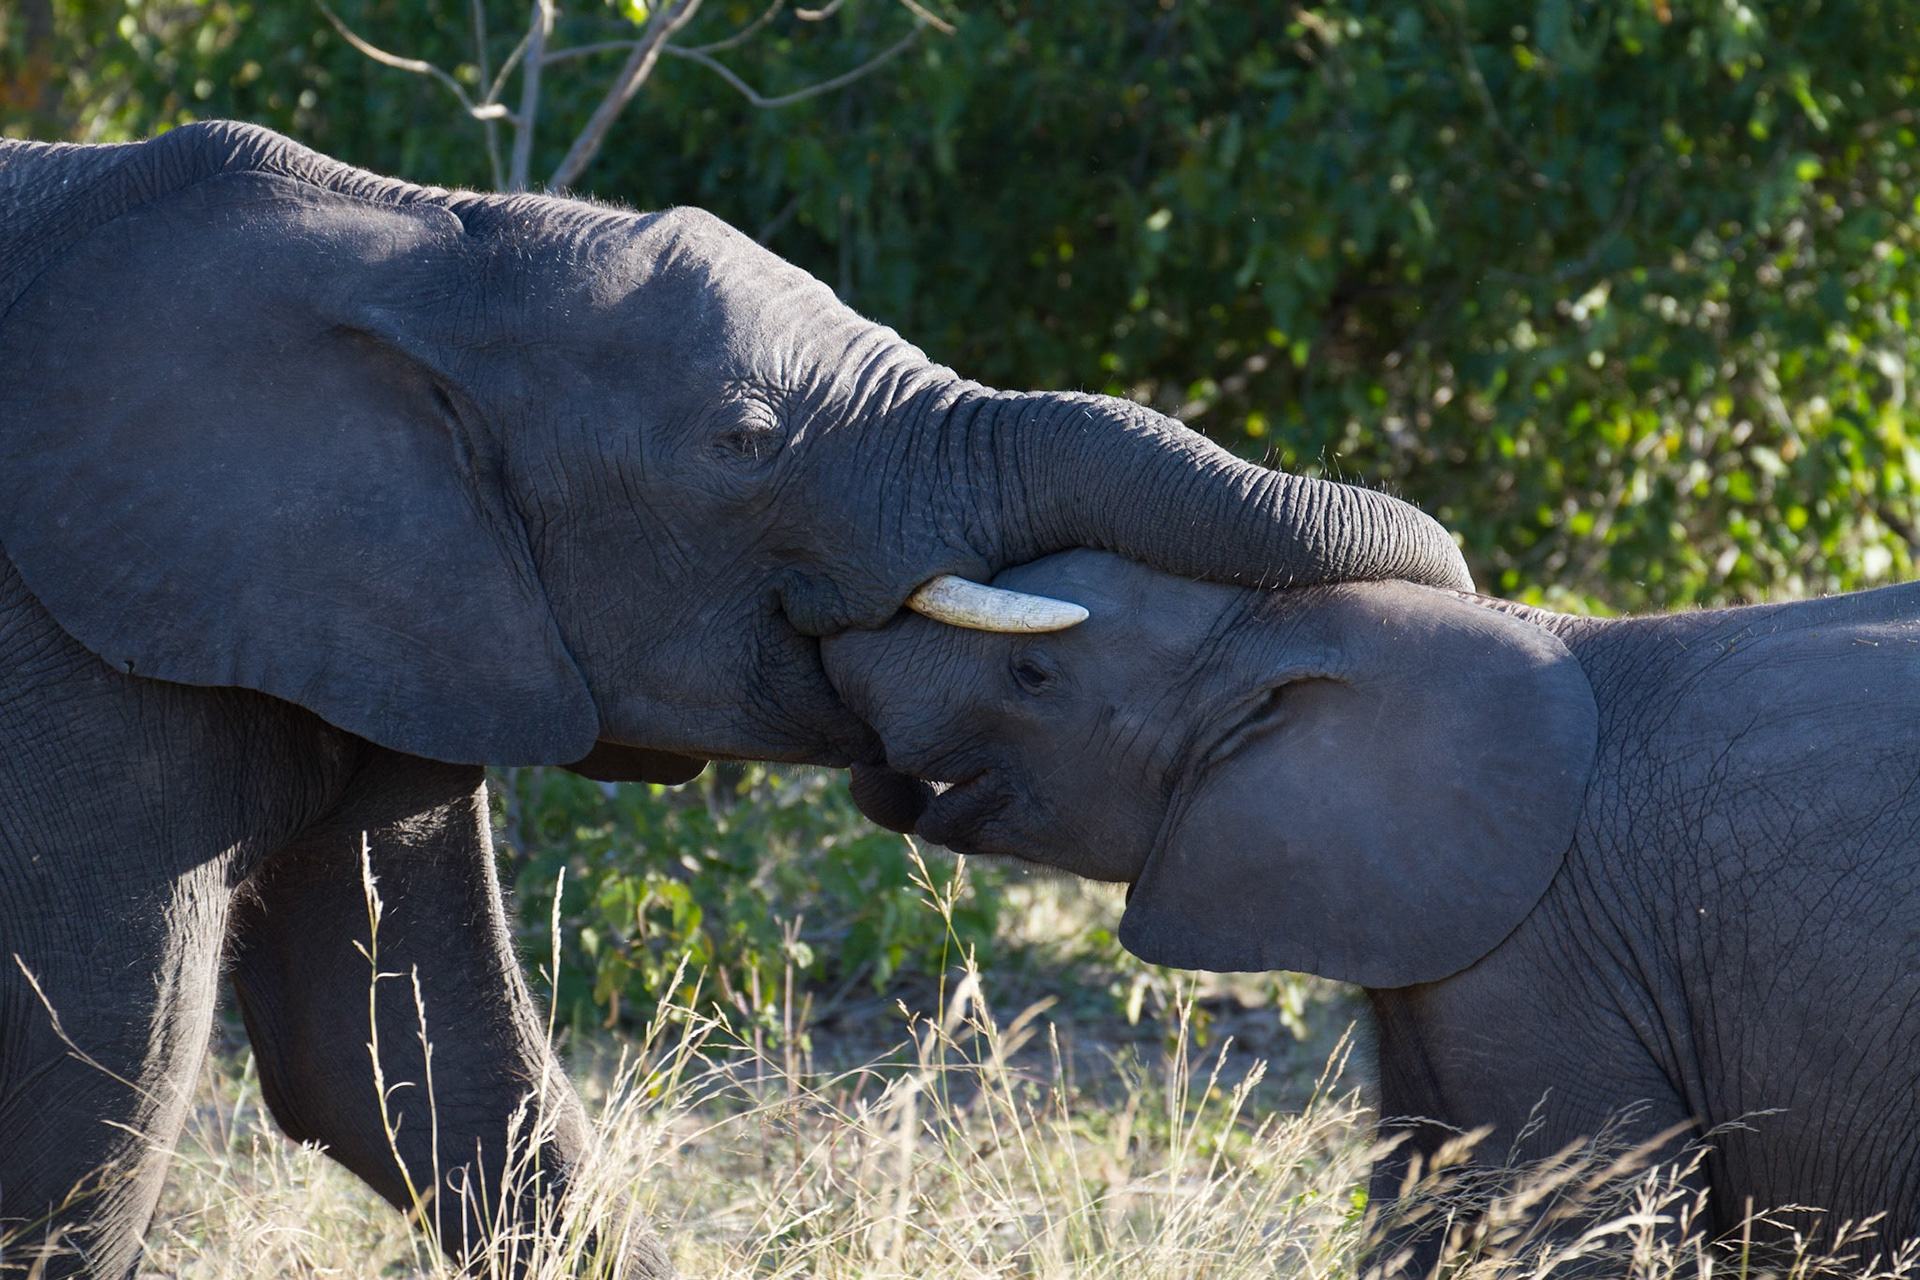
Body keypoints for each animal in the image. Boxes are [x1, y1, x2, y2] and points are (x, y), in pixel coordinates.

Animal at [0, 121, 1471, 1276]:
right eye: (745, 439)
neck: (413, 239)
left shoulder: (410, 618)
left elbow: (416, 1058)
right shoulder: (70, 652)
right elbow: (101, 1079)